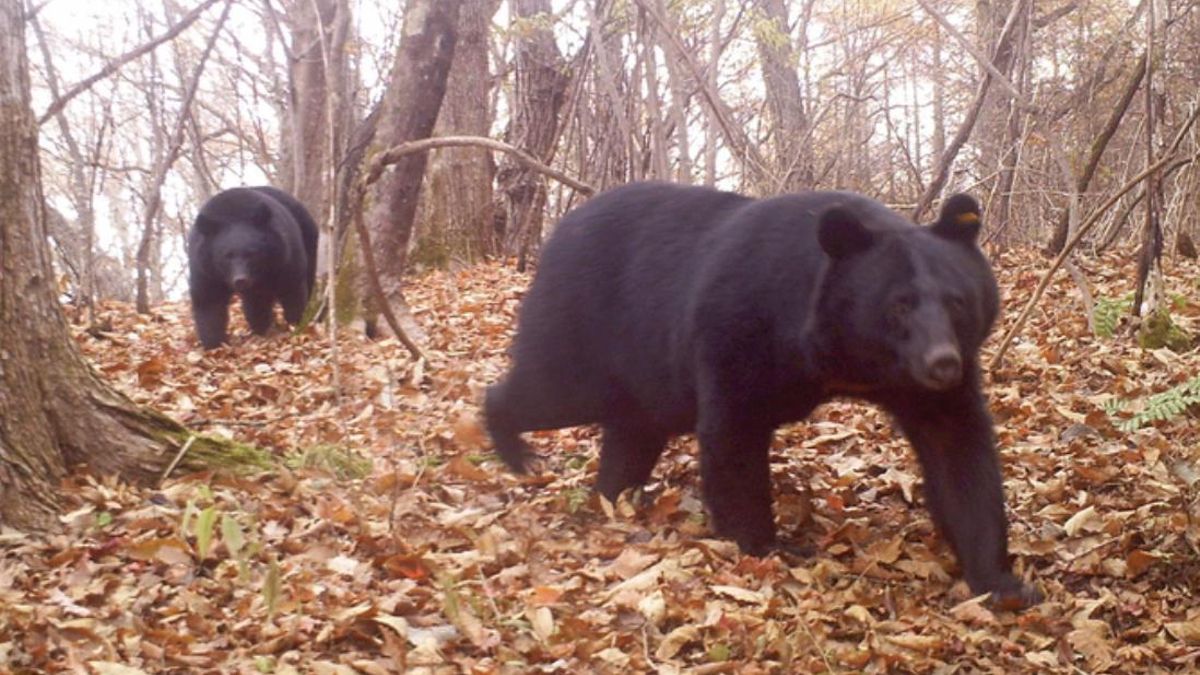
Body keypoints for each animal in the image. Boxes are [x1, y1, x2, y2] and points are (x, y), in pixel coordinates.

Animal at [187, 186, 319, 349]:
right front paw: (214, 344)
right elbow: (208, 302)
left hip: (308, 241)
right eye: (227, 256)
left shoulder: (283, 257)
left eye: (251, 254)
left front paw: (295, 324)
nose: (240, 280)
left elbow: (292, 289)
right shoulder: (205, 269)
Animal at [485, 181, 1040, 608]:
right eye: (899, 305)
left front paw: (1003, 582)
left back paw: (613, 495)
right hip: (587, 325)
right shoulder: (743, 326)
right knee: (551, 390)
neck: (848, 358)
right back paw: (514, 446)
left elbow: (957, 449)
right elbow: (734, 433)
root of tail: (559, 231)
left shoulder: (915, 384)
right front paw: (767, 545)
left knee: (631, 431)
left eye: (957, 301)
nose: (942, 363)